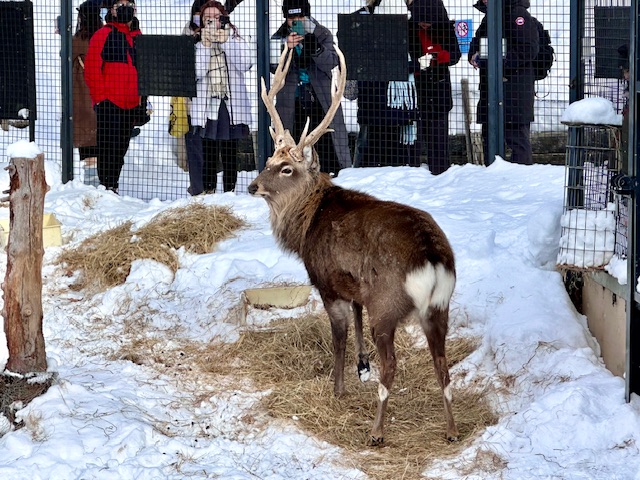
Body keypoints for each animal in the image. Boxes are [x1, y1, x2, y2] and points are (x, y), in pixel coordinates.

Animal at [248, 45, 459, 446]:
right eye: (268, 159)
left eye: (286, 169)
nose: (253, 185)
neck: (305, 227)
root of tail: (432, 257)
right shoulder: (356, 290)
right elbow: (358, 331)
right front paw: (362, 367)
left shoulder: (328, 283)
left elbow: (341, 337)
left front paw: (338, 388)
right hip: (439, 306)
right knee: (442, 361)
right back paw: (451, 428)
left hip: (387, 302)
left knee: (392, 364)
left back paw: (376, 431)